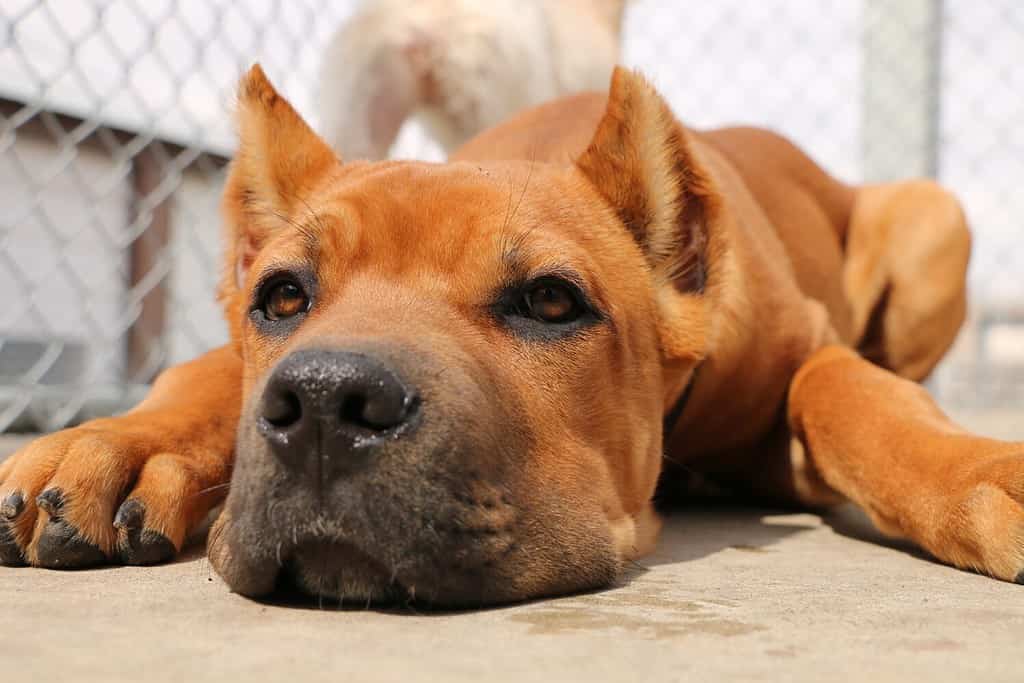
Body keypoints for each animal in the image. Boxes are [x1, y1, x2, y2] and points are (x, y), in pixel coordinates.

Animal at [2, 65, 1024, 602]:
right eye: (282, 297)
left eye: (552, 302)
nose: (328, 402)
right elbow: (206, 374)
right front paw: (119, 446)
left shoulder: (804, 349)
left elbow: (848, 391)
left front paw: (977, 467)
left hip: (933, 220)